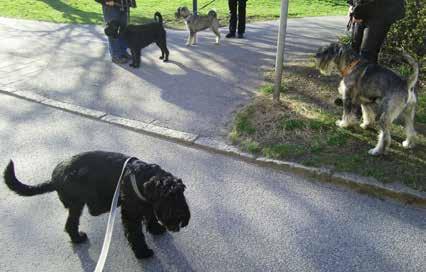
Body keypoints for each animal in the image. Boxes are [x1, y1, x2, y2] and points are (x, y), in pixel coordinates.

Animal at [3, 151, 190, 260]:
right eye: (168, 197)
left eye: (181, 193)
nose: (182, 218)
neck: (142, 177)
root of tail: (54, 178)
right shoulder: (130, 212)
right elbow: (135, 234)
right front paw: (142, 252)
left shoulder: (145, 203)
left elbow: (150, 216)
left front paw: (156, 229)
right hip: (77, 204)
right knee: (70, 224)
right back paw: (78, 238)